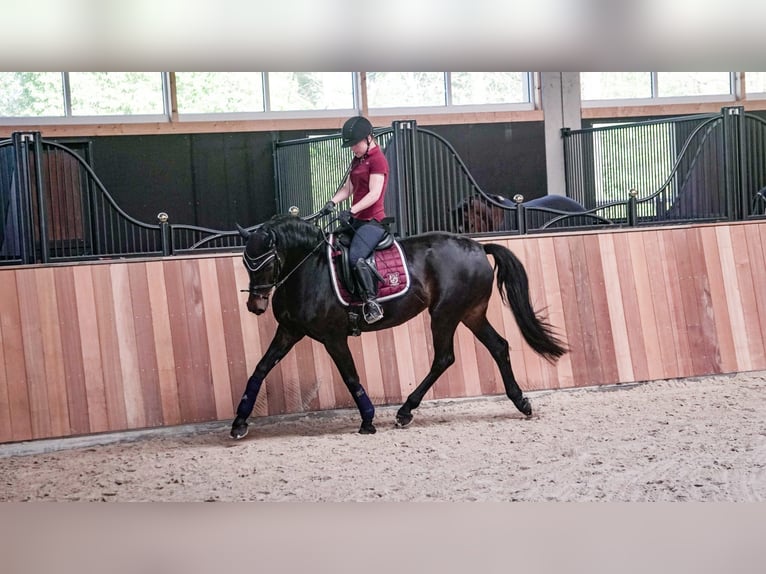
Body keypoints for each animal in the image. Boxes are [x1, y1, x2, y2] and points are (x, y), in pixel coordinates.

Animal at [234, 214, 568, 438]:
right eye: (245, 263)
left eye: (266, 262)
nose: (255, 306)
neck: (309, 270)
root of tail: (477, 246)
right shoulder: (289, 332)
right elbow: (260, 369)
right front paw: (239, 423)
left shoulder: (334, 337)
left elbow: (350, 377)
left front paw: (368, 420)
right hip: (470, 313)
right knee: (498, 346)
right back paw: (521, 402)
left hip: (445, 314)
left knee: (444, 358)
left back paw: (405, 411)